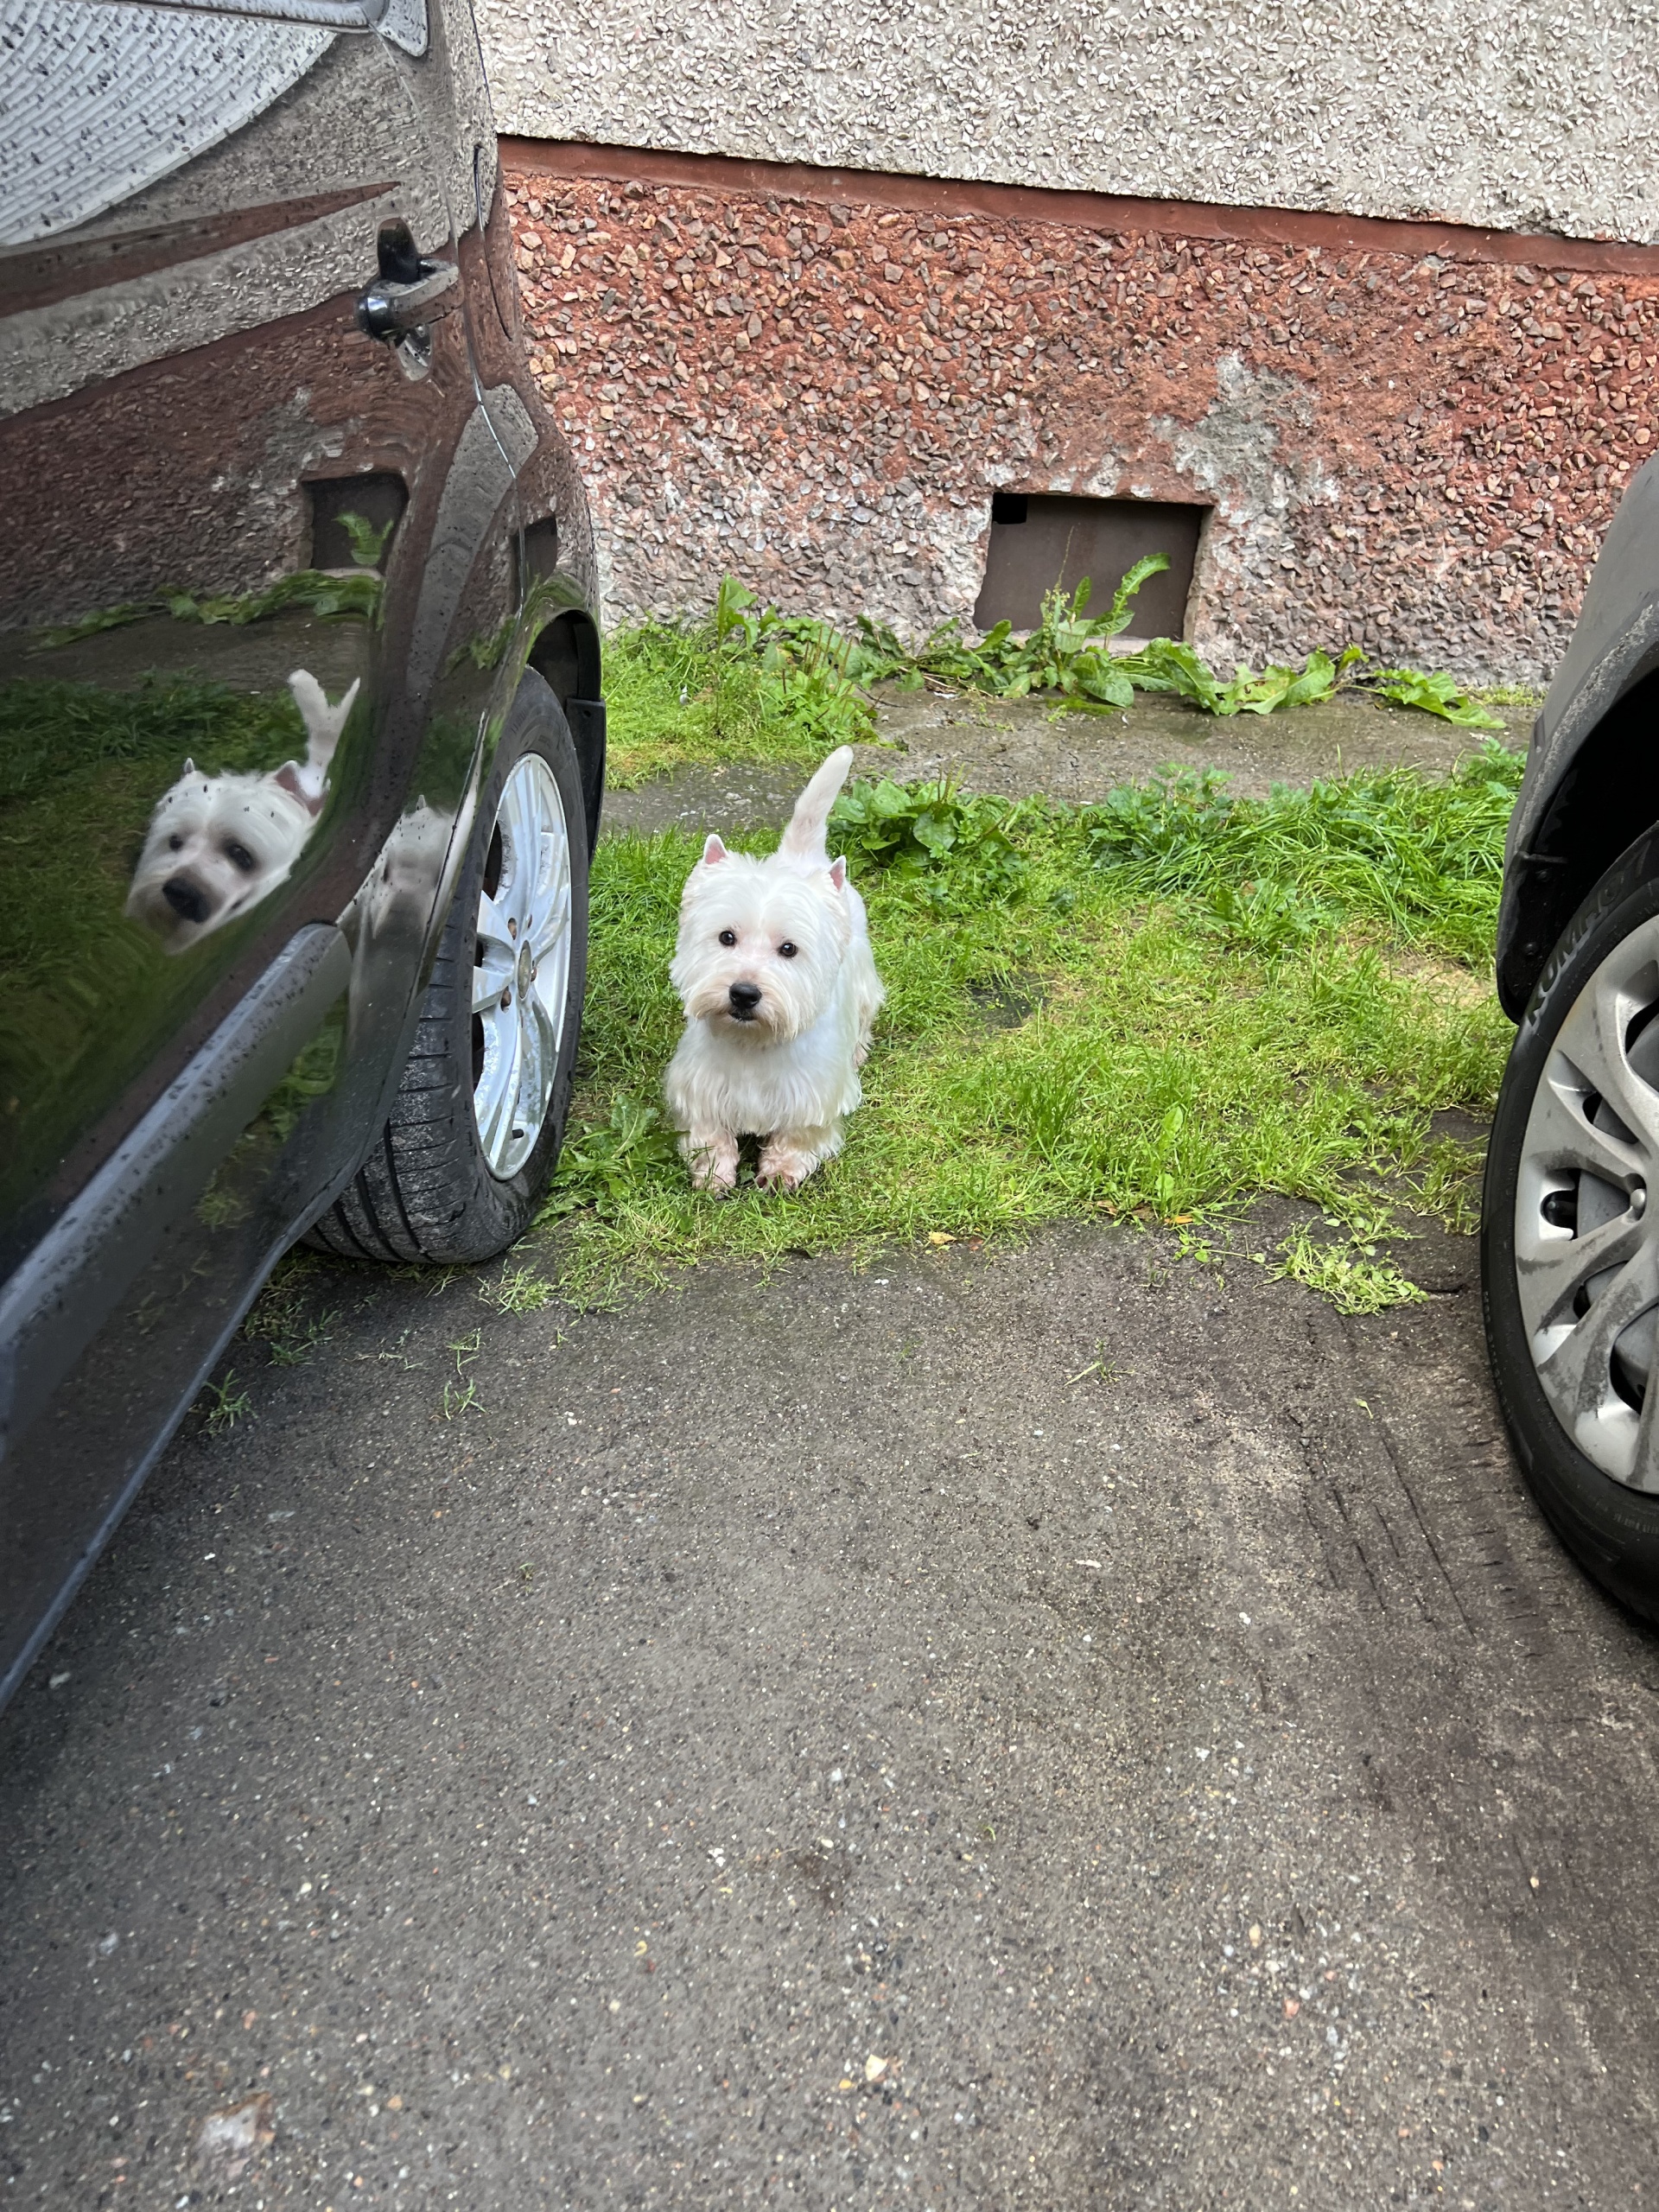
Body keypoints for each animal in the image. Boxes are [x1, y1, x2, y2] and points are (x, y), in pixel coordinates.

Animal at [668, 743, 889, 1194]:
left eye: (789, 949)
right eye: (726, 937)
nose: (744, 993)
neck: (753, 1044)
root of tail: (803, 858)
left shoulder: (814, 1095)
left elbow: (799, 1134)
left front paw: (780, 1171)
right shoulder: (698, 1087)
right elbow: (708, 1133)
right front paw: (714, 1173)